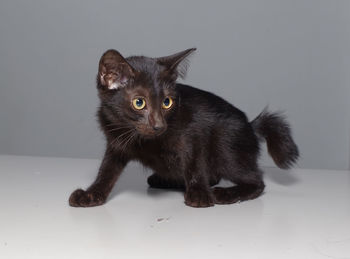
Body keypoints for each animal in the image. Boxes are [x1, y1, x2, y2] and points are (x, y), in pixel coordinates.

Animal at [69, 47, 300, 208]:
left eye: (167, 102)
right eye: (139, 103)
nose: (159, 125)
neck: (141, 138)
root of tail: (251, 126)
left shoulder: (193, 134)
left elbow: (194, 162)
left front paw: (199, 194)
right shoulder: (116, 142)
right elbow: (106, 170)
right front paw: (92, 193)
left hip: (226, 145)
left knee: (256, 181)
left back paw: (225, 193)